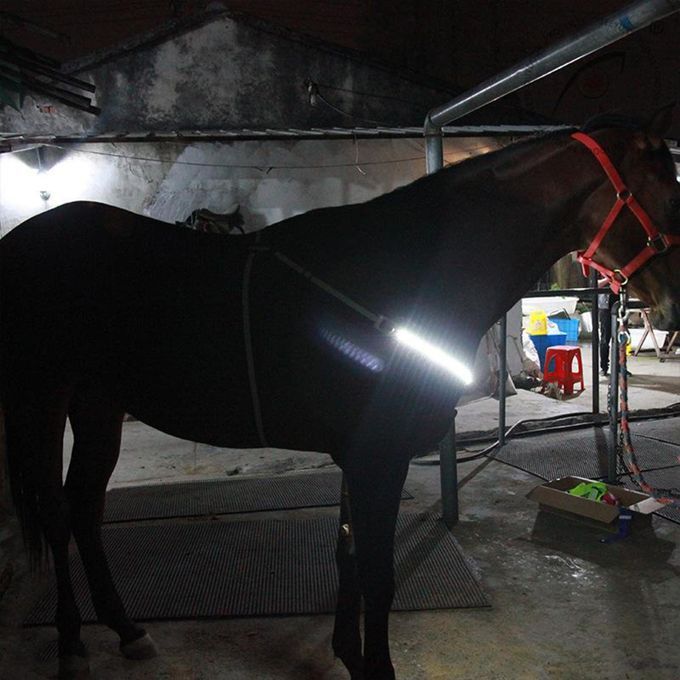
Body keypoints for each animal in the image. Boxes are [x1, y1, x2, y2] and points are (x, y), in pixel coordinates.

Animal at [1, 107, 680, 680]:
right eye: (664, 184)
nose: (673, 304)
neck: (401, 276)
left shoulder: (362, 457)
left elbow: (348, 558)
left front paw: (349, 655)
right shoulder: (377, 457)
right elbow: (376, 574)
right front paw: (374, 667)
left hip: (98, 403)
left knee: (85, 508)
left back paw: (126, 629)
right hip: (42, 400)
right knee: (58, 513)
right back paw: (71, 643)